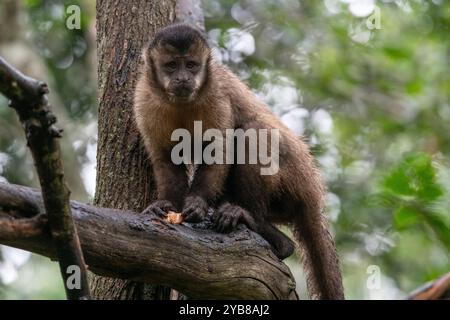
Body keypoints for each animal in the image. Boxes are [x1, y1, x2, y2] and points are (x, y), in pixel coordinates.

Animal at [134, 23, 344, 300]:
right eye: (171, 66)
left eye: (191, 65)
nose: (183, 78)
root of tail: (313, 192)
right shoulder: (144, 99)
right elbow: (164, 156)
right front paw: (166, 204)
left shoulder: (216, 94)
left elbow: (219, 149)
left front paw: (197, 203)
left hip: (294, 183)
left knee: (253, 133)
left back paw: (252, 220)